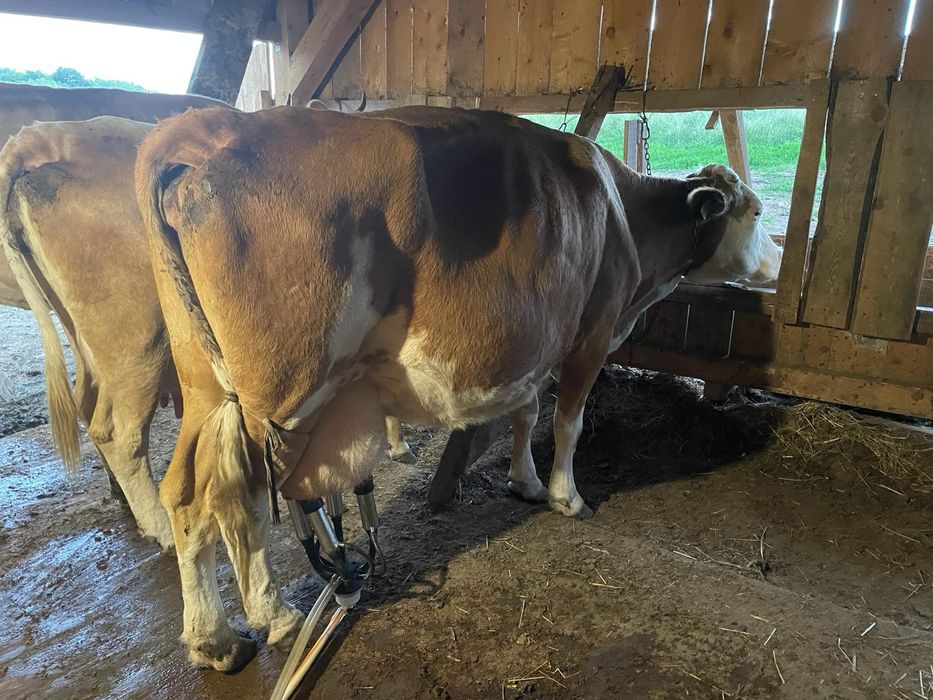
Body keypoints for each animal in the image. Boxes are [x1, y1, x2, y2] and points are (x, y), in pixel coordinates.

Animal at [135, 105, 781, 670]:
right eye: (753, 213)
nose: (778, 263)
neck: (627, 220)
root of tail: (218, 125)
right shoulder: (590, 334)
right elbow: (567, 421)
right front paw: (566, 496)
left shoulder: (539, 338)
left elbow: (526, 411)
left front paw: (523, 481)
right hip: (280, 394)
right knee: (233, 496)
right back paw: (273, 616)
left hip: (207, 387)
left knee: (188, 495)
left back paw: (218, 639)